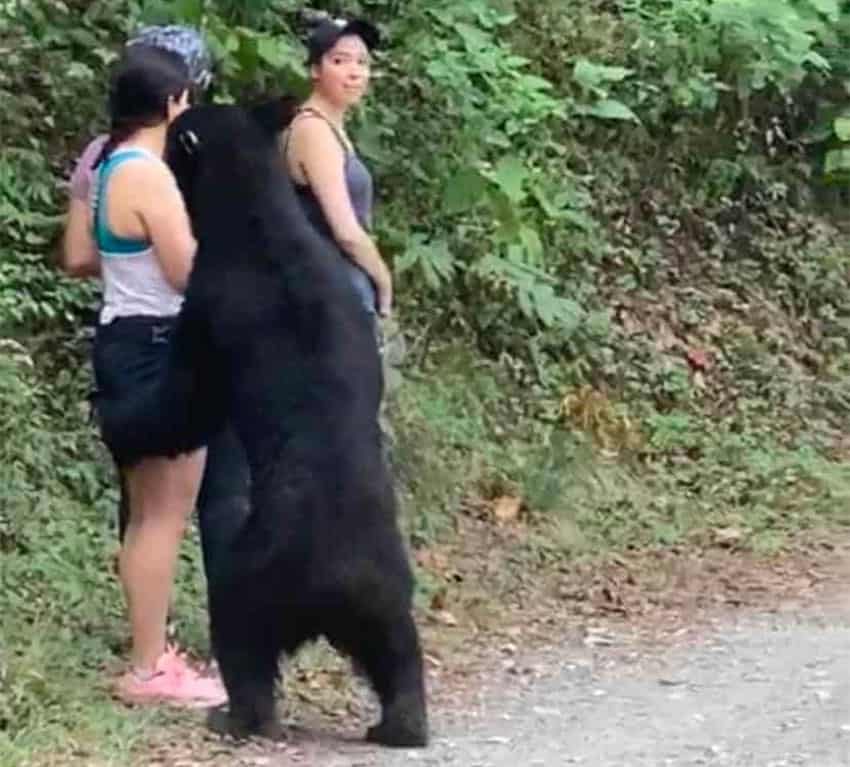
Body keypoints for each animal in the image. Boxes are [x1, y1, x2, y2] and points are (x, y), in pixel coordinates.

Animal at [111, 99, 430, 748]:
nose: (161, 139)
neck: (254, 217)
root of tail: (335, 582)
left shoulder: (209, 304)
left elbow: (185, 401)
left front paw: (120, 421)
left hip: (255, 571)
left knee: (240, 636)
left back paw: (236, 715)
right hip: (388, 590)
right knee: (399, 652)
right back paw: (402, 723)